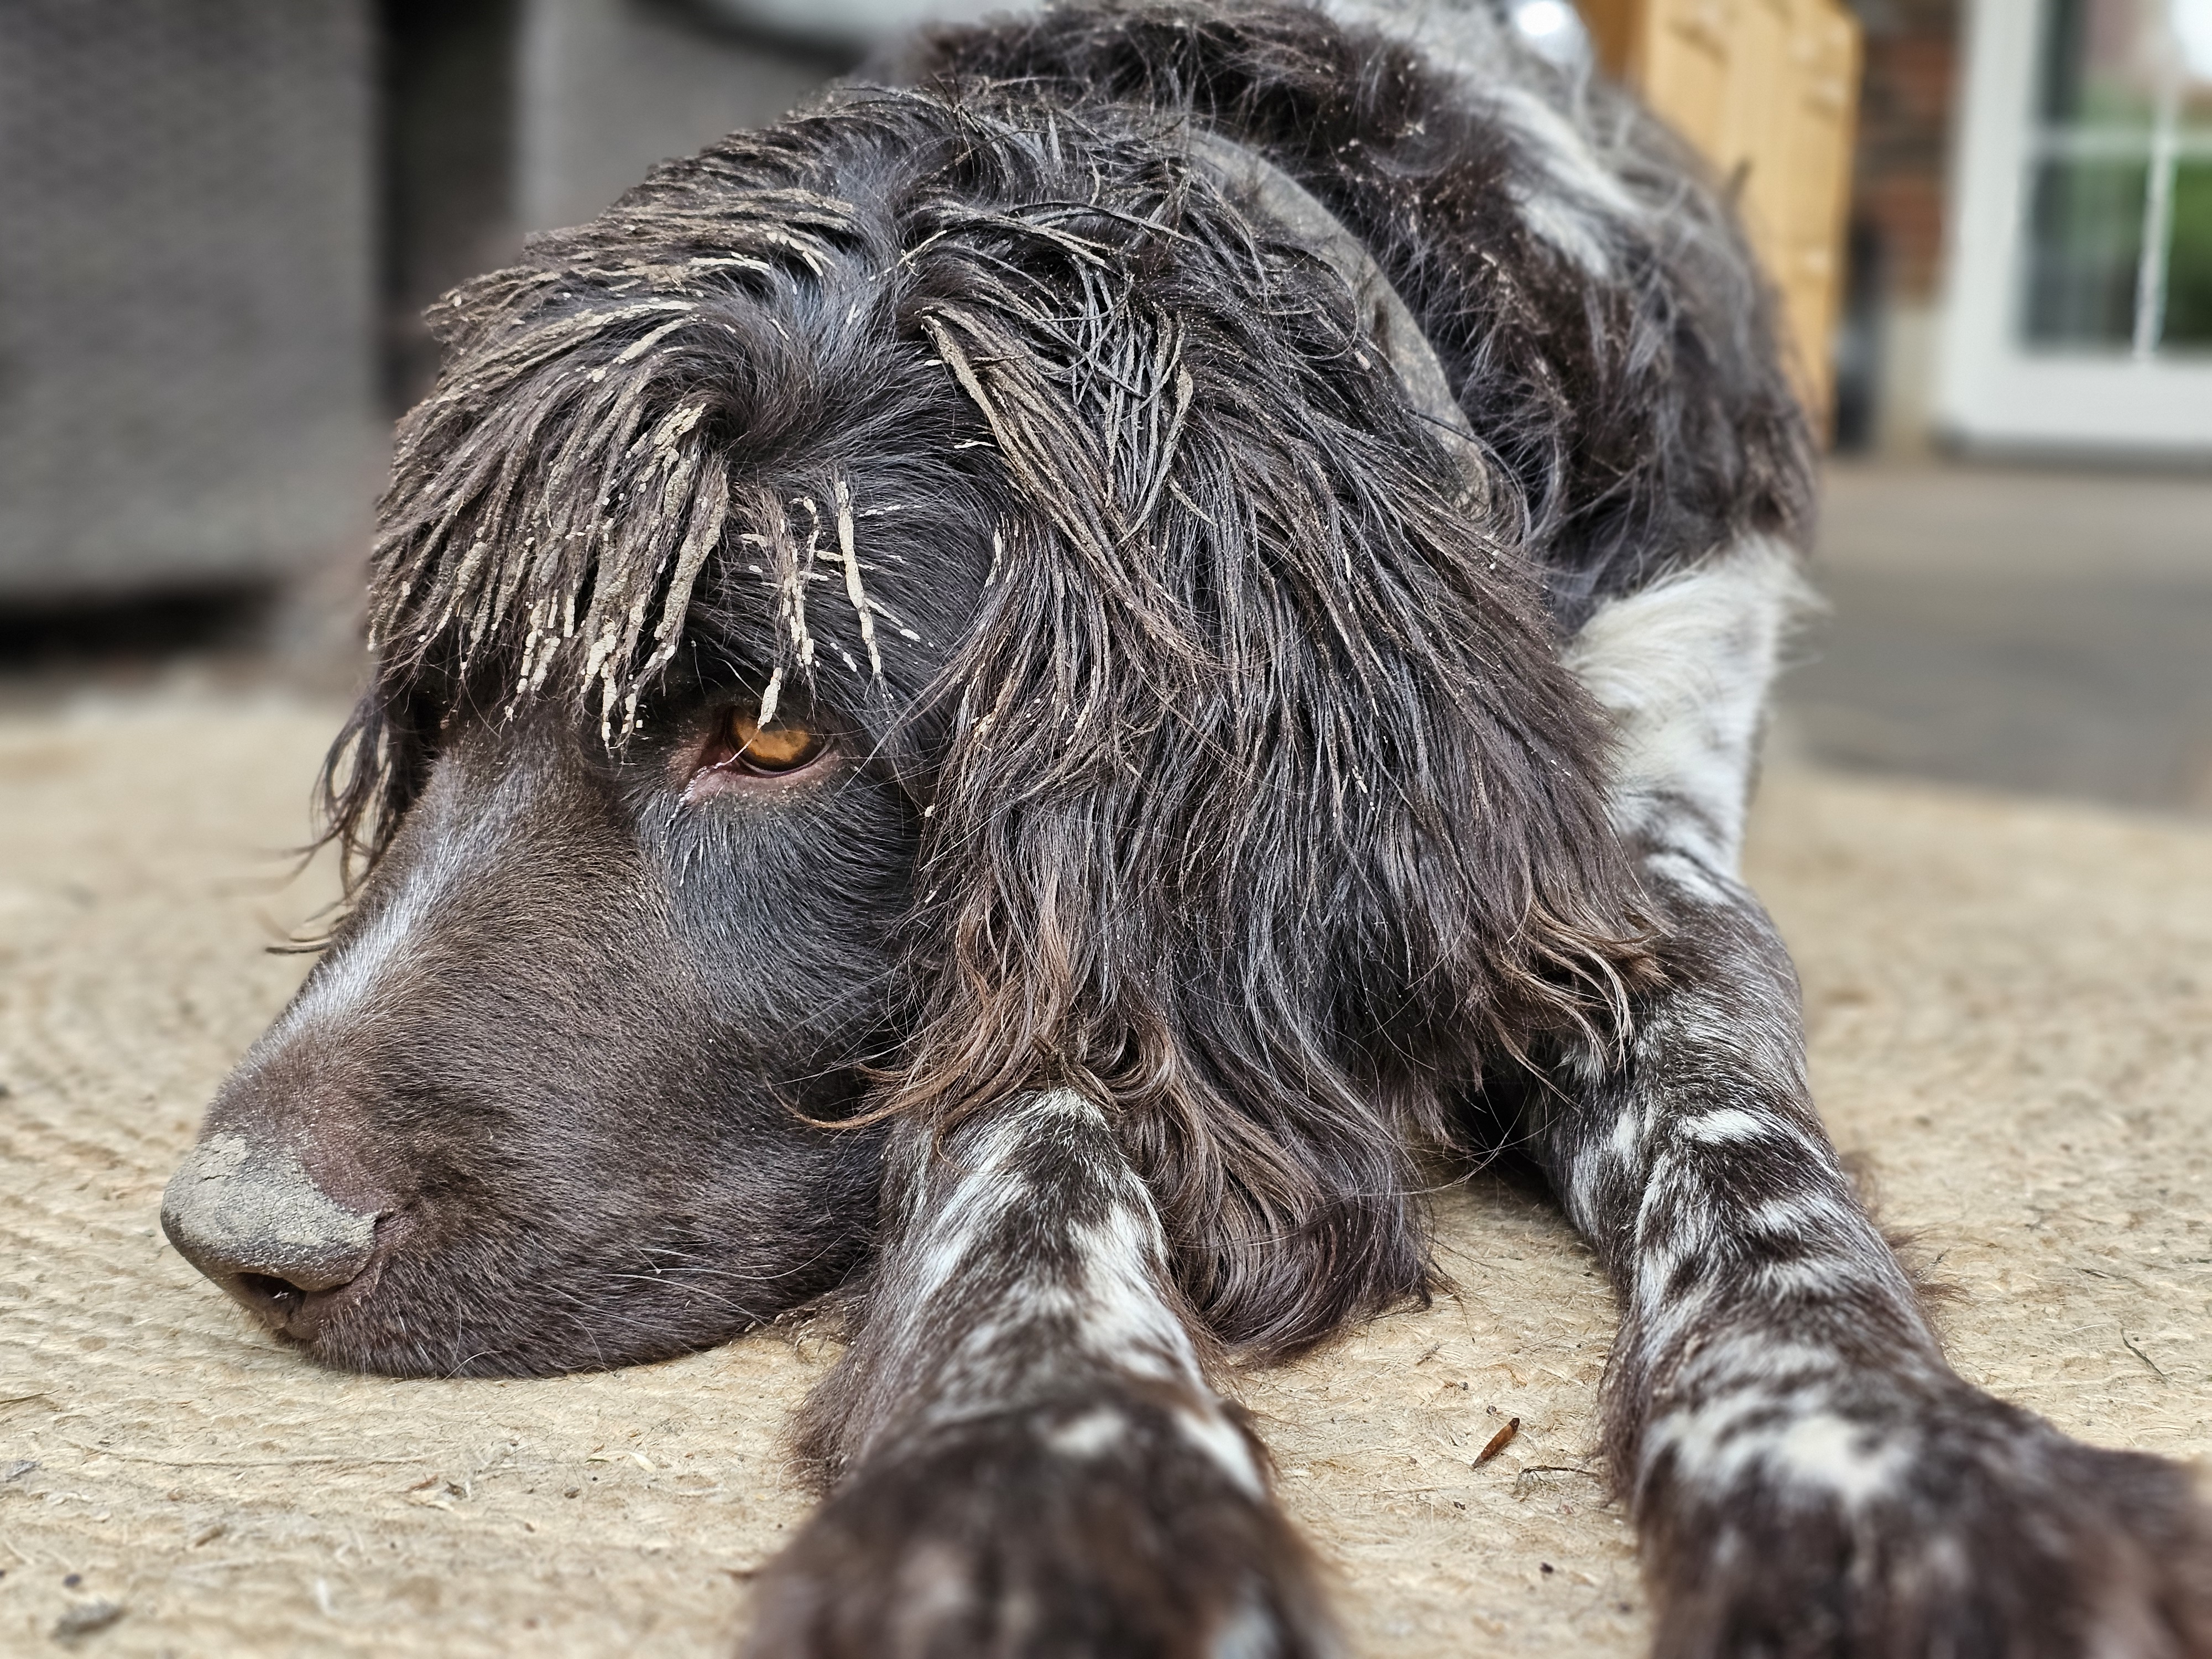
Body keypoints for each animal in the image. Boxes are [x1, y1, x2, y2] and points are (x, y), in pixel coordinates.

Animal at [160, 6, 2212, 1655]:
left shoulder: (1652, 859)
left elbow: (1740, 1147)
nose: (233, 1235)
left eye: (770, 732)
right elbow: (1034, 1121)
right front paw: (1046, 1474)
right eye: (444, 709)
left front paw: (1900, 1473)